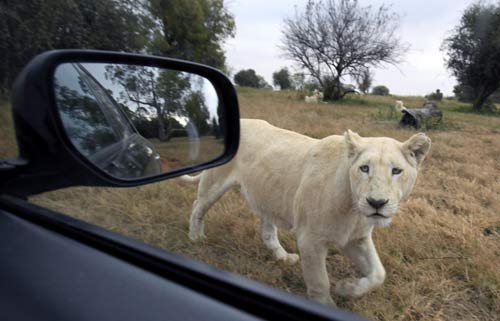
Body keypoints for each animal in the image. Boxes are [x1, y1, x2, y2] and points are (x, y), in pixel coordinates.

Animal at [182, 118, 432, 304]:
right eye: (364, 168)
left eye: (396, 171)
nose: (376, 202)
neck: (353, 210)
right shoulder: (310, 239)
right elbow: (320, 281)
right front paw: (328, 303)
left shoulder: (356, 238)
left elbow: (378, 273)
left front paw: (347, 288)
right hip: (214, 181)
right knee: (197, 206)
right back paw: (195, 237)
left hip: (267, 196)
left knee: (267, 231)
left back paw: (283, 257)